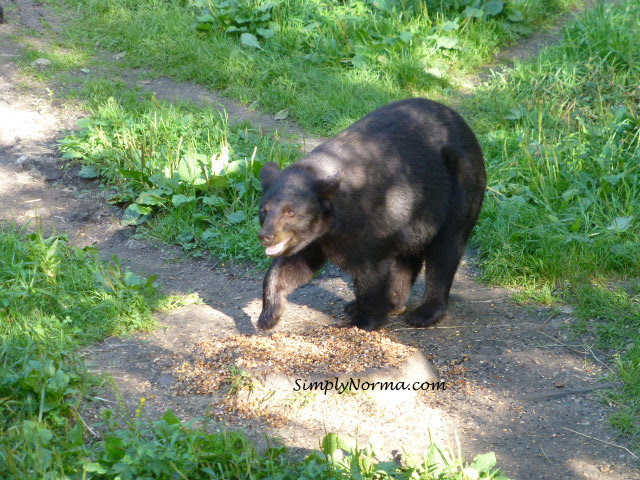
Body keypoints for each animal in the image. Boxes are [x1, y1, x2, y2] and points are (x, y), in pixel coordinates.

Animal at [255, 97, 484, 330]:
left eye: (290, 211)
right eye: (263, 210)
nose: (266, 236)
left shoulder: (371, 215)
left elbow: (370, 271)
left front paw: (363, 321)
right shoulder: (315, 236)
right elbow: (294, 265)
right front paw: (268, 315)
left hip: (459, 188)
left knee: (445, 250)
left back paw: (425, 312)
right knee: (407, 257)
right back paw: (391, 302)